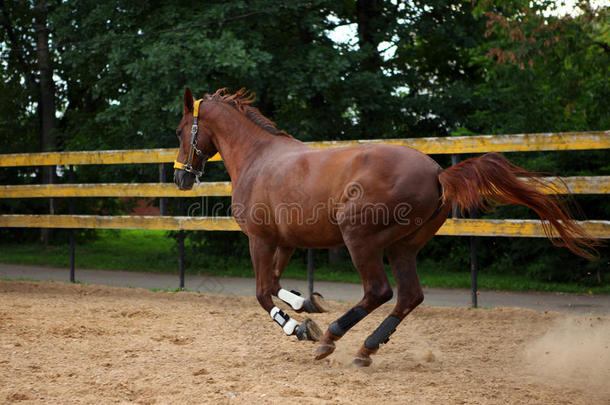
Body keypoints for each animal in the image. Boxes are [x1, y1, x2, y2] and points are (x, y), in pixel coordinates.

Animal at [172, 87, 592, 366]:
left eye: (179, 130)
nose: (181, 177)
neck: (258, 158)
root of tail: (438, 173)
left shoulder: (260, 240)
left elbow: (262, 293)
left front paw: (301, 328)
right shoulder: (285, 241)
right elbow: (276, 285)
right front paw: (308, 304)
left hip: (360, 239)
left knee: (379, 291)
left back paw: (332, 338)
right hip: (402, 247)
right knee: (409, 296)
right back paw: (366, 348)